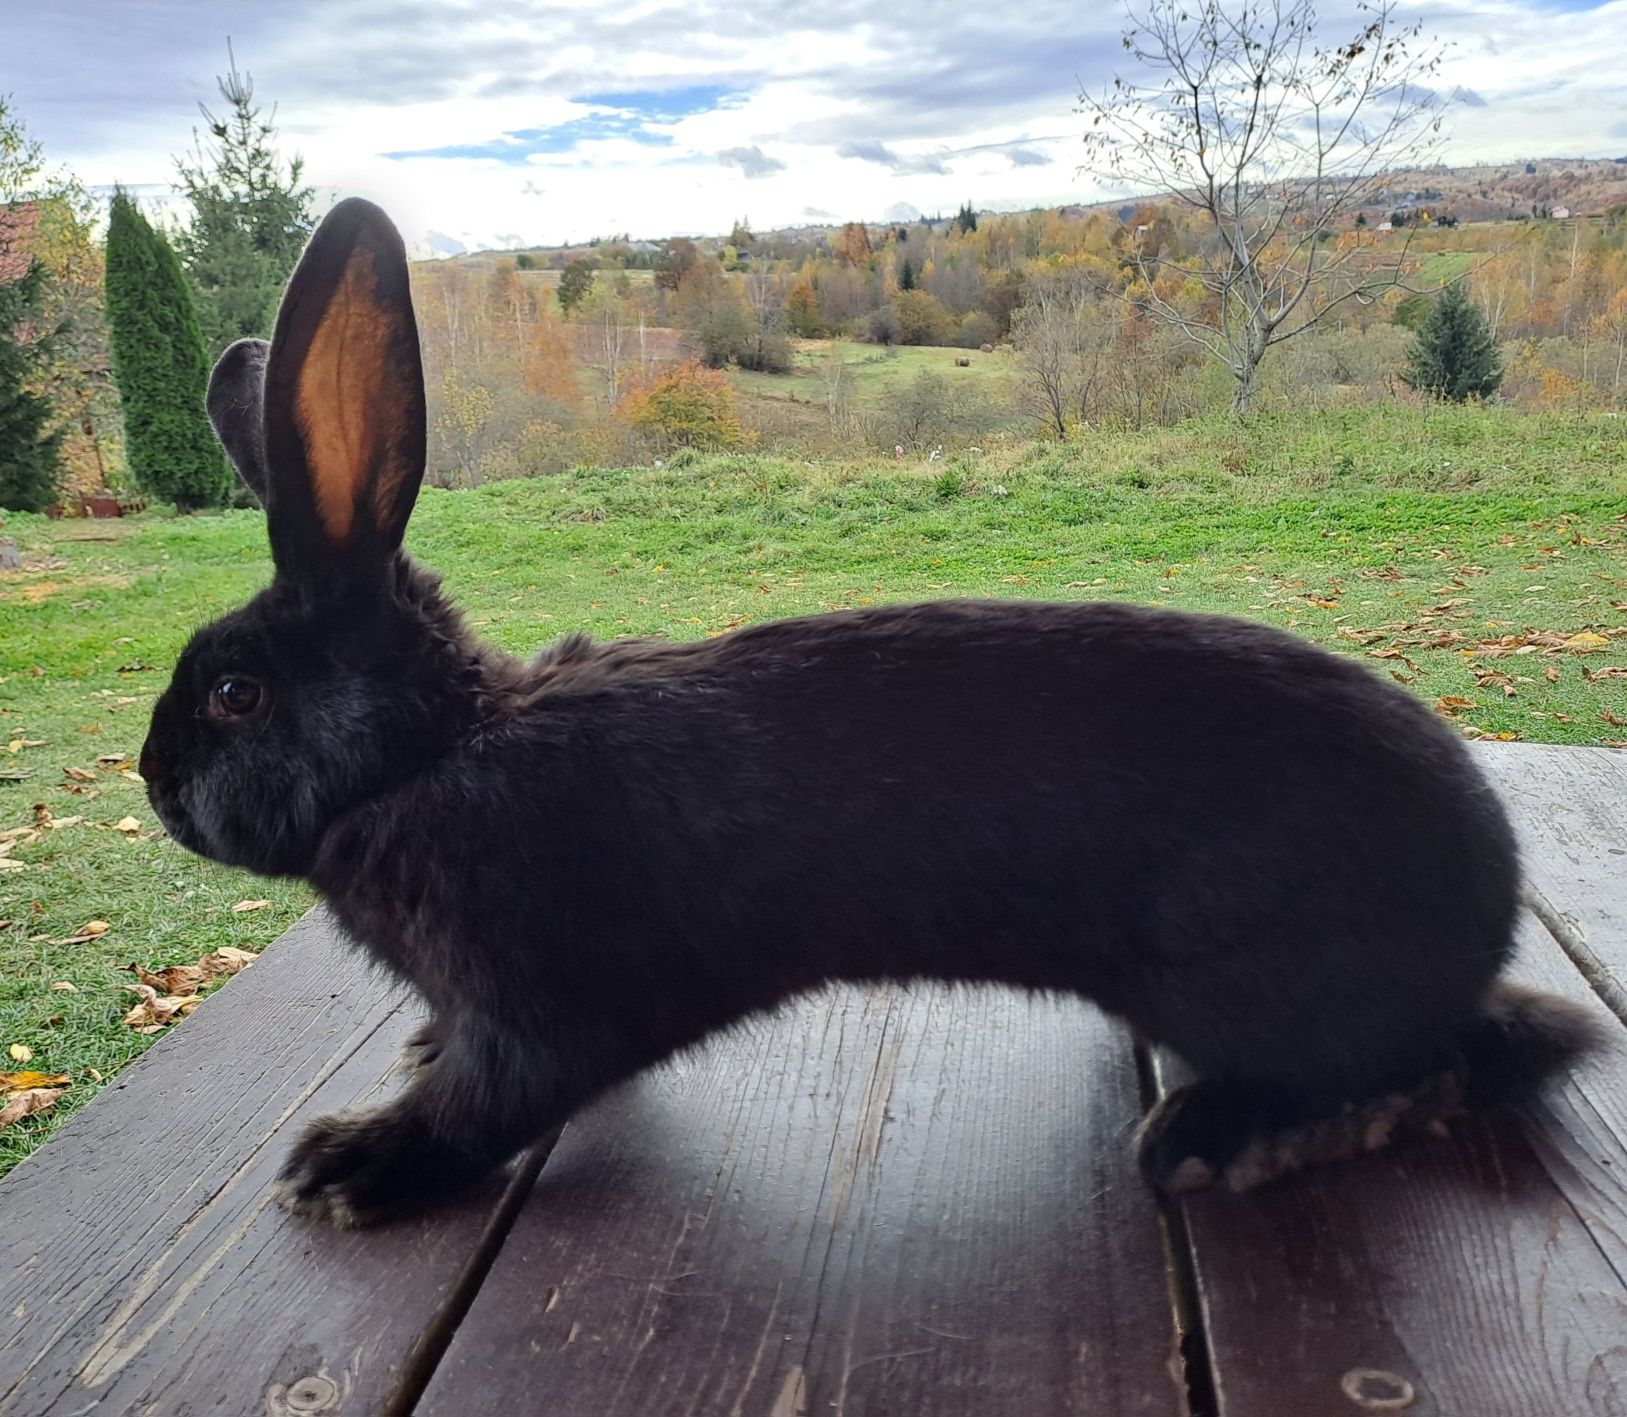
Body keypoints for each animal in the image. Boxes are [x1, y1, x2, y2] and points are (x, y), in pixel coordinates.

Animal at [146, 199, 1594, 1229]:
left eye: (233, 692)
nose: (155, 786)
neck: (432, 755)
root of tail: (1484, 906)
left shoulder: (542, 1008)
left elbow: (484, 1102)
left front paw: (345, 1167)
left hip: (1255, 977)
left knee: (1424, 1067)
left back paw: (1224, 1142)